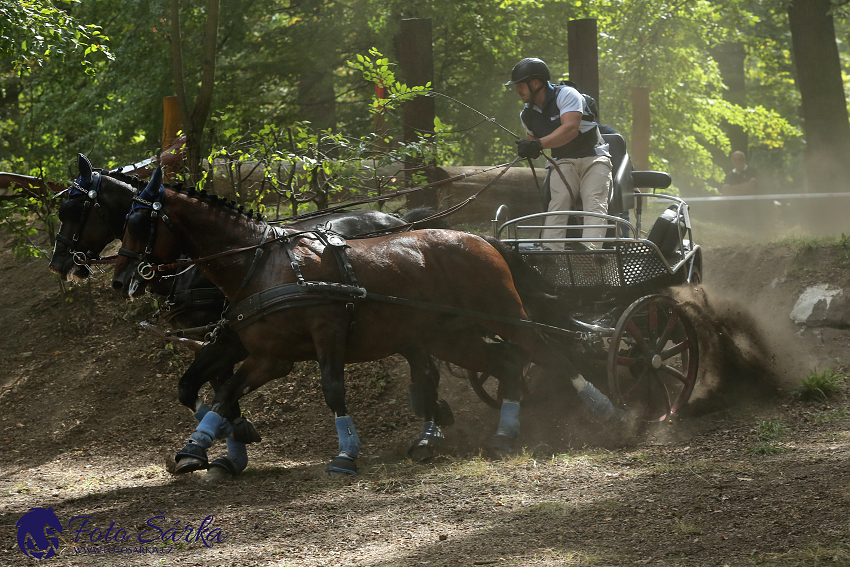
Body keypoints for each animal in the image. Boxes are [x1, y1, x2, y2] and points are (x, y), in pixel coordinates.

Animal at [49, 154, 454, 474]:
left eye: (76, 211)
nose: (59, 264)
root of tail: (402, 220)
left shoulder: (227, 339)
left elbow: (219, 390)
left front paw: (228, 443)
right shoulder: (220, 339)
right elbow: (196, 388)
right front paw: (223, 445)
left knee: (427, 369)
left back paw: (429, 433)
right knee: (423, 368)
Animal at [109, 168, 580, 474]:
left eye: (140, 222)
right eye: (123, 219)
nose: (119, 279)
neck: (262, 265)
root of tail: (480, 238)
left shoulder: (327, 331)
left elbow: (332, 390)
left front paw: (346, 454)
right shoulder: (269, 357)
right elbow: (221, 392)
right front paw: (199, 448)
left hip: (506, 315)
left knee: (550, 354)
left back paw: (585, 410)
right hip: (450, 335)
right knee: (506, 363)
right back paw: (502, 435)